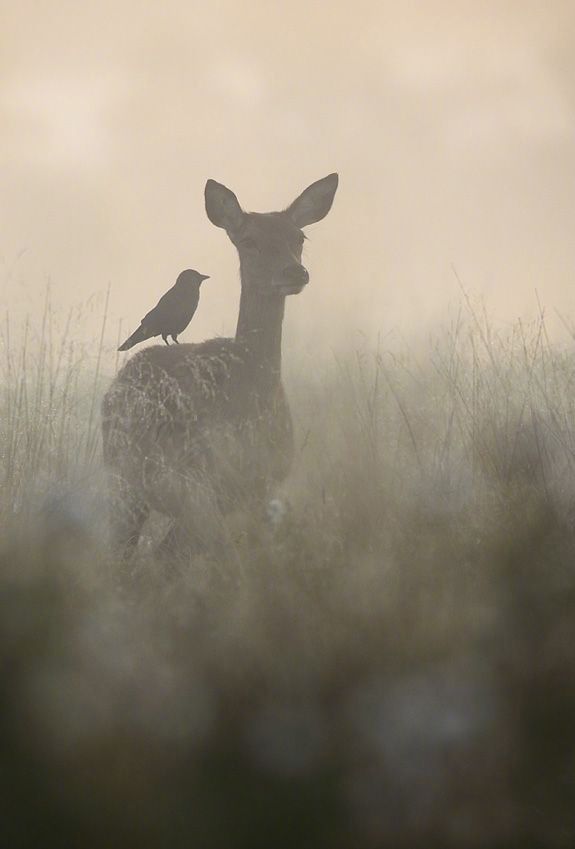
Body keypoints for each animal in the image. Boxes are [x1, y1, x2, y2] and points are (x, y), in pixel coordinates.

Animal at [102, 172, 340, 556]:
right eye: (249, 240)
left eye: (299, 237)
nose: (294, 272)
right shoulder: (197, 487)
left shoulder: (263, 485)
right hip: (127, 480)